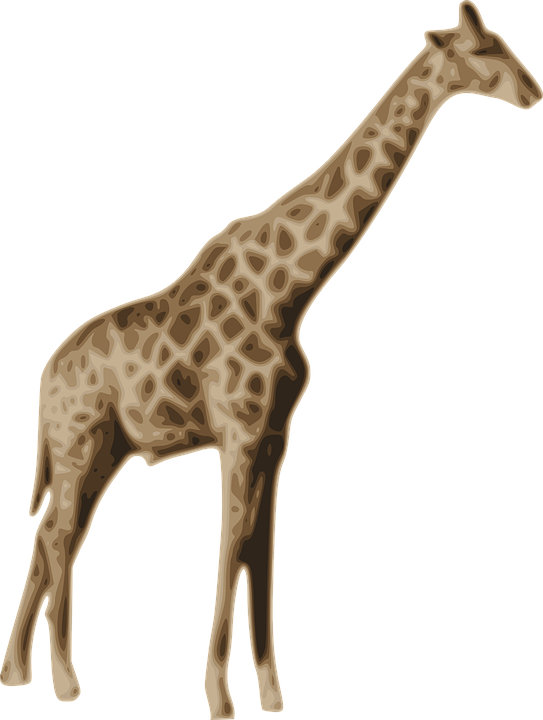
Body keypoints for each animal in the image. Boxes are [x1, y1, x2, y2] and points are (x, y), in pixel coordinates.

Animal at [1, 1, 541, 716]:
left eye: (499, 42)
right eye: (483, 51)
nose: (533, 92)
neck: (289, 292)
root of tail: (45, 380)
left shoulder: (276, 433)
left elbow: (262, 552)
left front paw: (272, 693)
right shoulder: (239, 427)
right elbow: (231, 544)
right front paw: (219, 696)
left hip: (100, 451)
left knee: (51, 540)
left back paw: (23, 673)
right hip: (79, 443)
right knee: (58, 540)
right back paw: (59, 679)